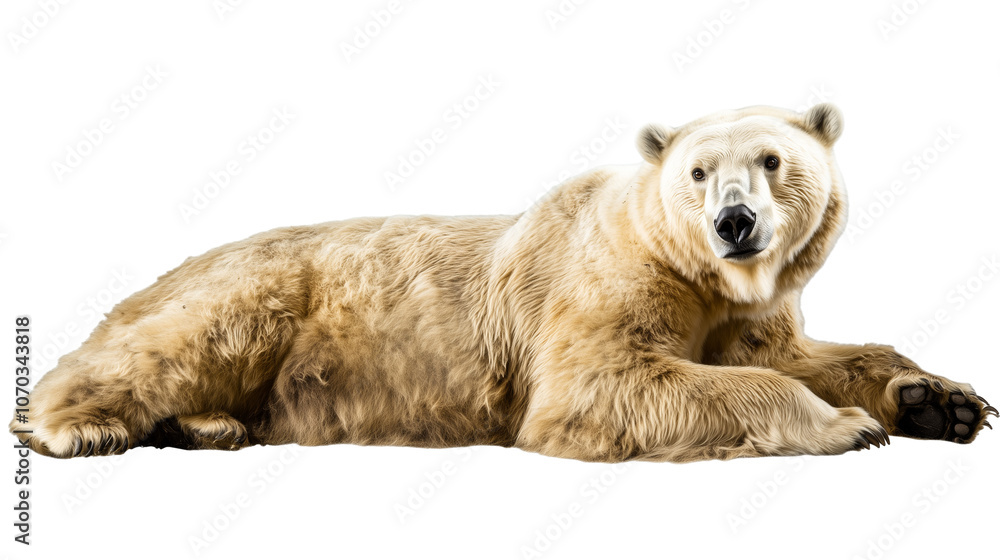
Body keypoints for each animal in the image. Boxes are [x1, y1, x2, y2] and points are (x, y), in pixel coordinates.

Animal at [11, 103, 995, 462]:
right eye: (698, 173)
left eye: (773, 160)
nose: (736, 224)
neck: (701, 276)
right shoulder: (608, 282)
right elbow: (601, 384)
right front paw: (845, 425)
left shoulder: (751, 308)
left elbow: (805, 350)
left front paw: (939, 401)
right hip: (258, 292)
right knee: (171, 343)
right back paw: (82, 427)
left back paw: (205, 426)